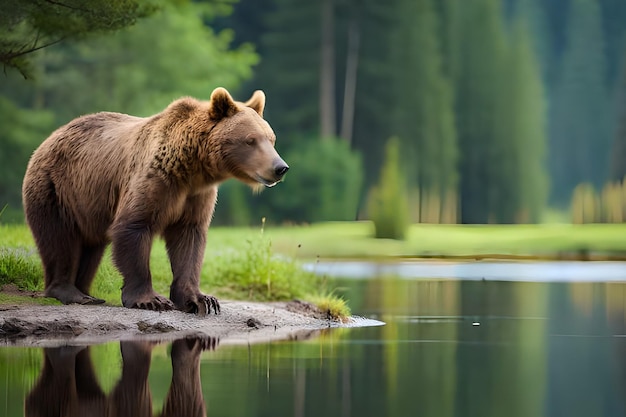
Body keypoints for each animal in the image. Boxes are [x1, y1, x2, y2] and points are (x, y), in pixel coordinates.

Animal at [22, 88, 288, 316]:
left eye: (271, 139)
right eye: (250, 140)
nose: (280, 168)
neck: (193, 170)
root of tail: (51, 137)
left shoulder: (196, 197)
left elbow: (189, 240)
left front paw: (201, 300)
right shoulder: (155, 179)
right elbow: (135, 226)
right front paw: (151, 299)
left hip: (88, 204)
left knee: (90, 247)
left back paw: (86, 291)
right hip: (56, 189)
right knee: (60, 240)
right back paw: (70, 291)